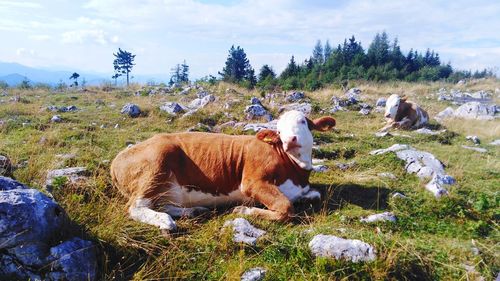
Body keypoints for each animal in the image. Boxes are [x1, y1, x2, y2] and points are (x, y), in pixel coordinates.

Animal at [109, 110, 336, 232]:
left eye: (303, 122)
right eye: (279, 131)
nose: (289, 140)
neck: (296, 172)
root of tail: (118, 158)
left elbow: (315, 194)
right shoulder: (252, 181)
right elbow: (286, 207)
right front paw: (244, 211)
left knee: (162, 203)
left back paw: (193, 211)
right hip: (156, 163)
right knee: (135, 207)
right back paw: (166, 221)